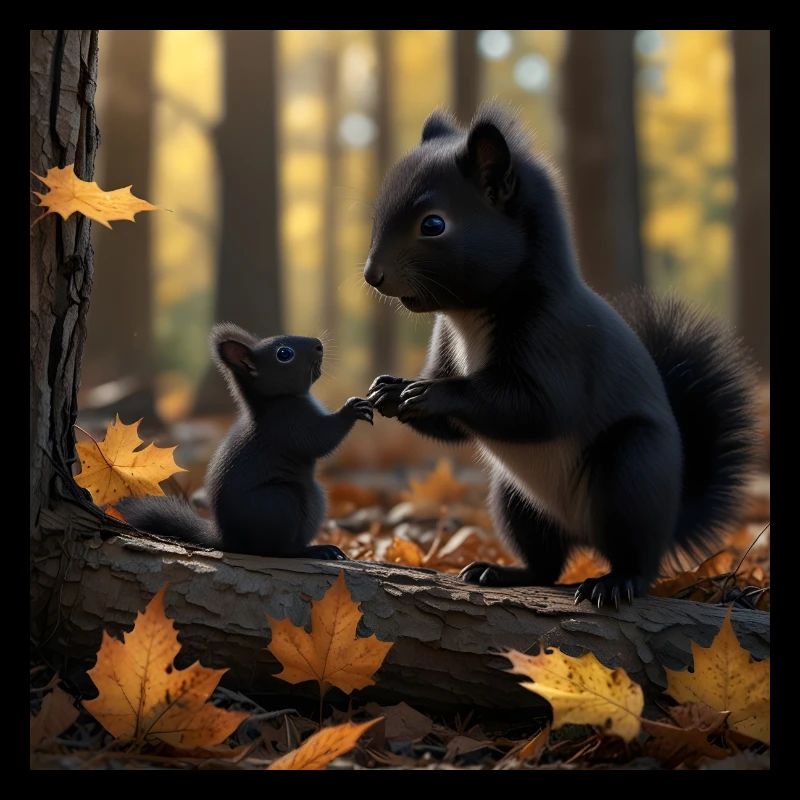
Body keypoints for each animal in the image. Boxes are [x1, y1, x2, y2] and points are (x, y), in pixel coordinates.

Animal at [117, 324, 374, 559]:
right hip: (280, 502)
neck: (274, 401)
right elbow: (322, 439)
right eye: (284, 354)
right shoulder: (289, 426)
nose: (319, 344)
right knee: (281, 550)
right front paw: (353, 408)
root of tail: (229, 540)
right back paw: (315, 550)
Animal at [364, 104, 757, 607]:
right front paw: (390, 389)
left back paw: (613, 583)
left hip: (631, 471)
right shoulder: (446, 344)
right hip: (515, 500)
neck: (470, 315)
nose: (372, 275)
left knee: (637, 559)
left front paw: (429, 393)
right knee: (546, 564)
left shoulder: (556, 340)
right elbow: (452, 430)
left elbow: (538, 408)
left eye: (434, 224)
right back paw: (500, 571)